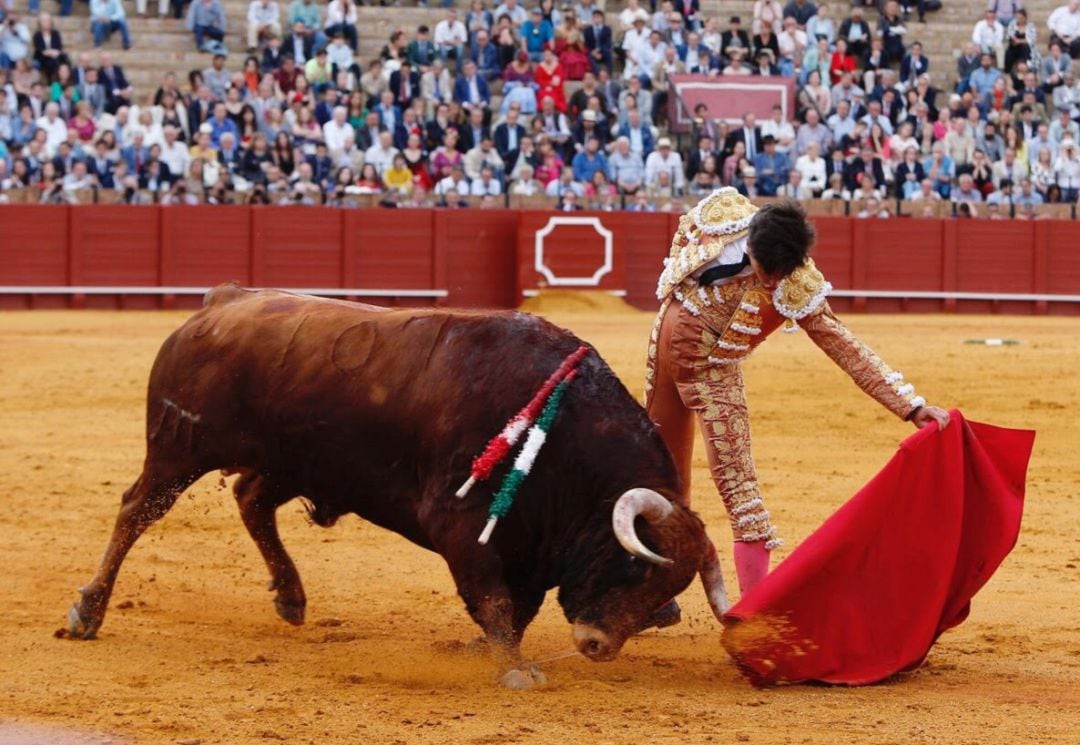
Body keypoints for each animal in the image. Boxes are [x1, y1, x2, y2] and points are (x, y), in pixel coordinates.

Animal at [67, 285, 725, 686]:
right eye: (635, 566)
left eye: (671, 584)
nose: (595, 645)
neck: (565, 437)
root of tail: (221, 302)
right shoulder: (463, 525)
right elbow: (494, 599)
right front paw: (513, 668)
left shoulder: (530, 546)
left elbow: (521, 605)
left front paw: (492, 653)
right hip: (178, 449)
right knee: (136, 510)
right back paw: (87, 612)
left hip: (295, 461)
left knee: (251, 500)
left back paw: (291, 596)